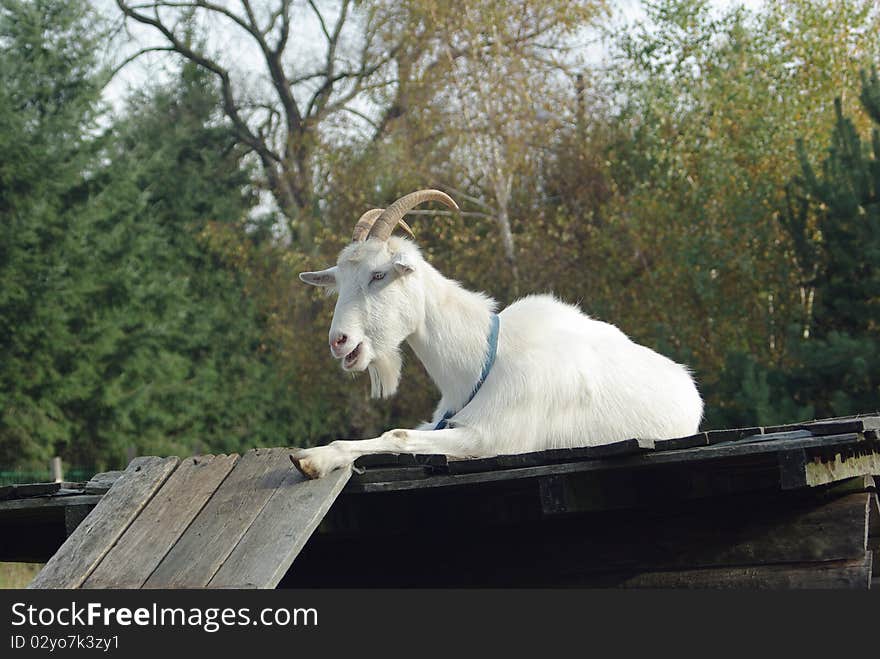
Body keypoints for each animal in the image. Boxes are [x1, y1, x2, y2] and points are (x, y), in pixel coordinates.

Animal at [290, 188, 700, 476]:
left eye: (378, 275)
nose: (339, 341)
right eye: (339, 283)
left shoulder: (491, 438)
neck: (481, 361)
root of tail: (689, 387)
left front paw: (317, 458)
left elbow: (398, 435)